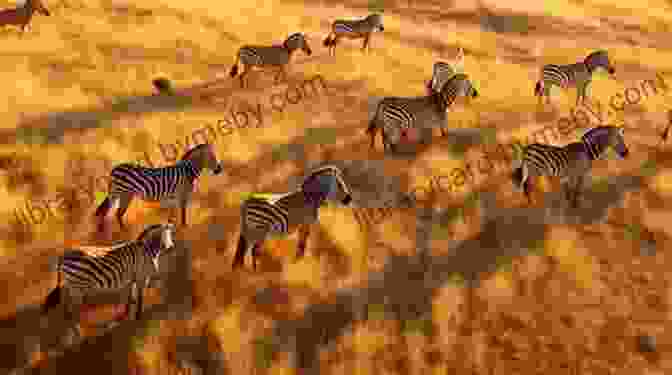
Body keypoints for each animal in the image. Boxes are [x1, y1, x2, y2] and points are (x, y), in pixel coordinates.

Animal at [40, 223, 177, 344]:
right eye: (161, 236)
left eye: (170, 234)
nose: (171, 248)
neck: (147, 251)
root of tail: (63, 256)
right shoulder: (141, 277)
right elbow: (139, 298)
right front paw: (138, 317)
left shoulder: (132, 279)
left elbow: (130, 297)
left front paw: (126, 314)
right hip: (77, 286)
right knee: (72, 308)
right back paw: (78, 331)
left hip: (71, 285)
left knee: (67, 306)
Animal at [94, 144, 223, 232]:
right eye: (212, 157)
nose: (219, 170)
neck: (187, 172)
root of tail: (114, 170)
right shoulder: (182, 196)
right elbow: (183, 216)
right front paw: (184, 229)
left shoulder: (173, 199)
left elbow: (171, 218)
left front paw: (172, 231)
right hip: (123, 194)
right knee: (116, 213)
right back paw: (122, 232)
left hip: (120, 194)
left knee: (109, 212)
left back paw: (106, 232)